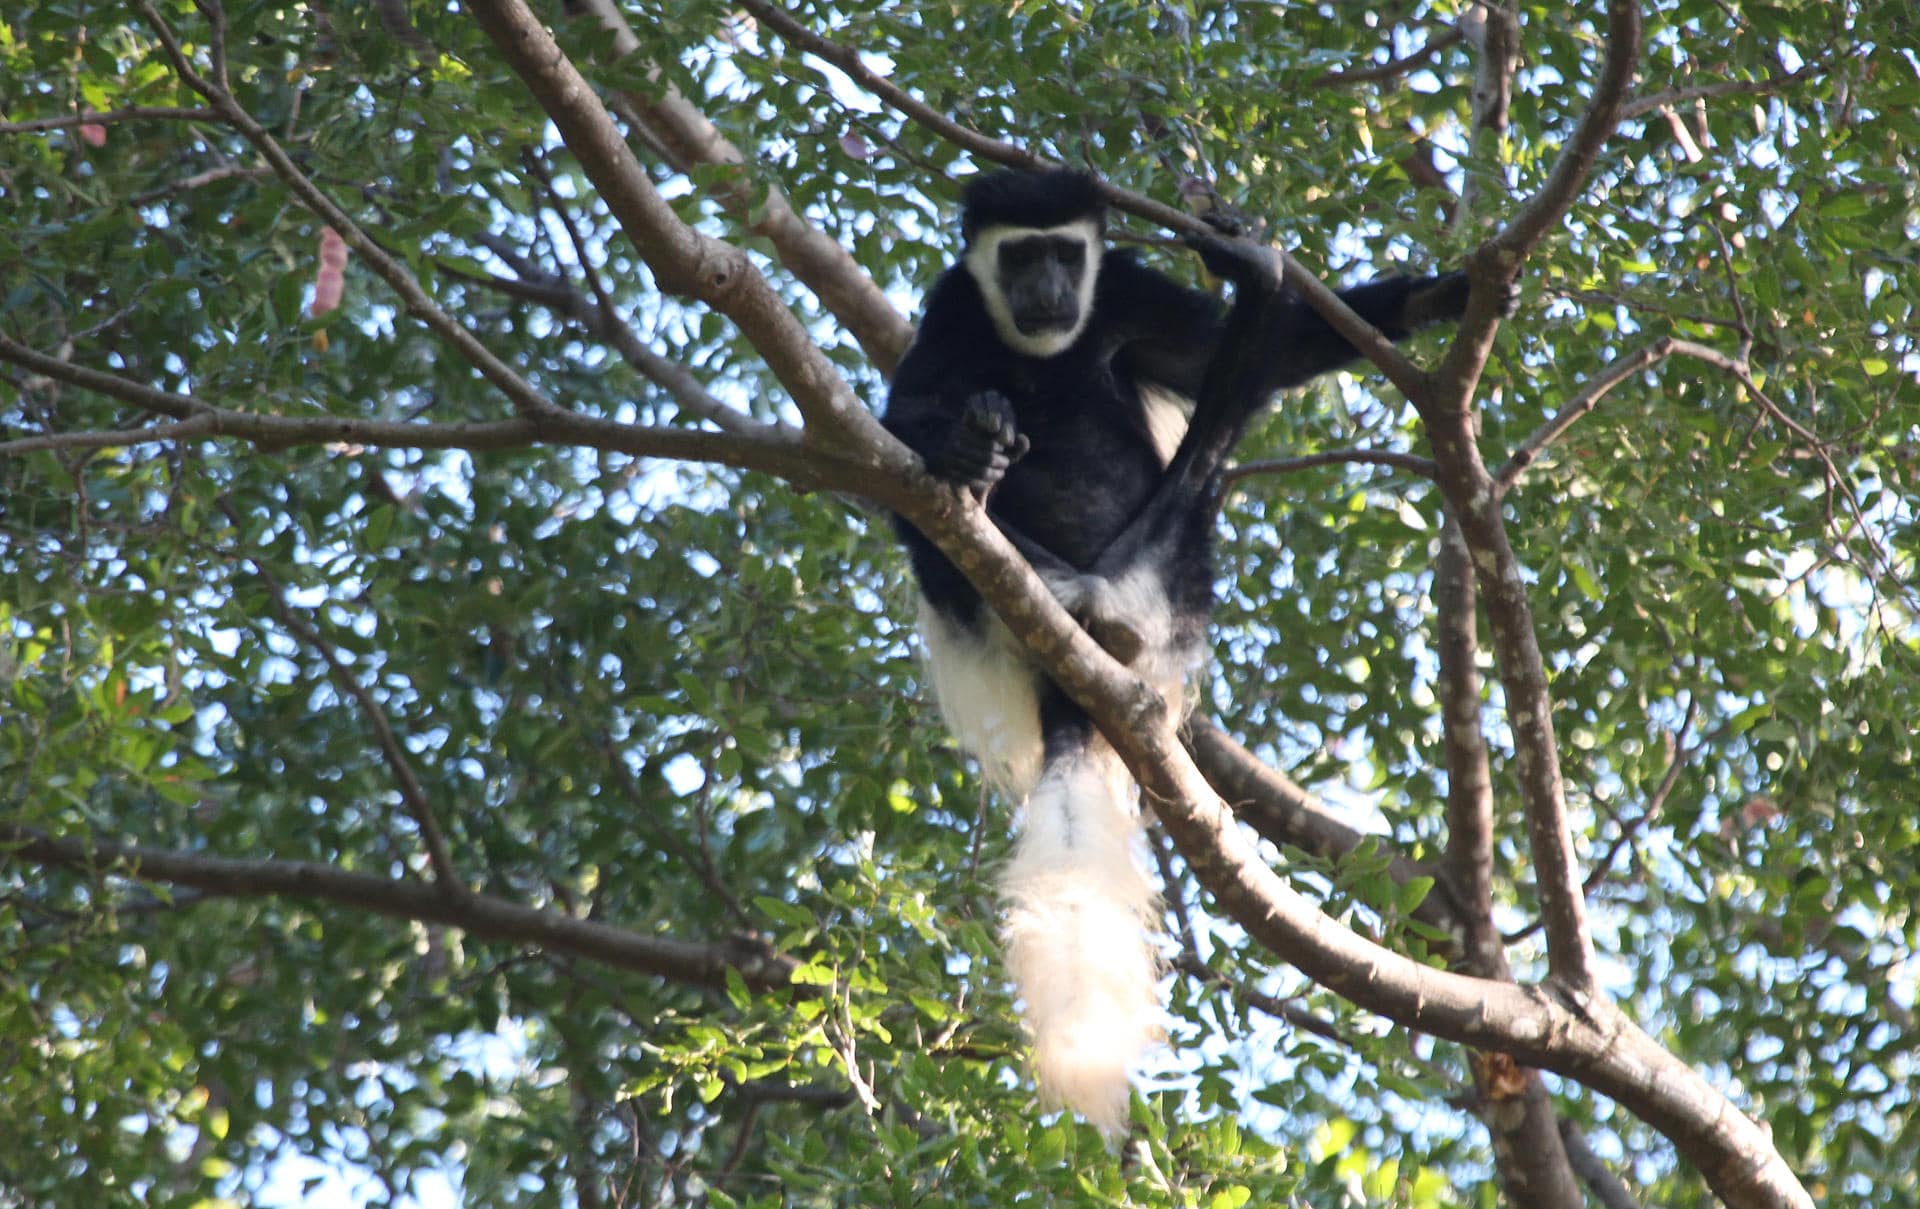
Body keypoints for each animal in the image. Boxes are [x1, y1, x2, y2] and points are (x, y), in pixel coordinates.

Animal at [883, 170, 1482, 1136]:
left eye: (1065, 254)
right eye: (1019, 255)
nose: (1046, 292)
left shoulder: (1126, 291)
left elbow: (1246, 361)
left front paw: (1445, 291)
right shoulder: (953, 308)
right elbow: (904, 417)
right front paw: (966, 442)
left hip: (1174, 579)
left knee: (1217, 433)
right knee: (923, 510)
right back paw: (1009, 521)